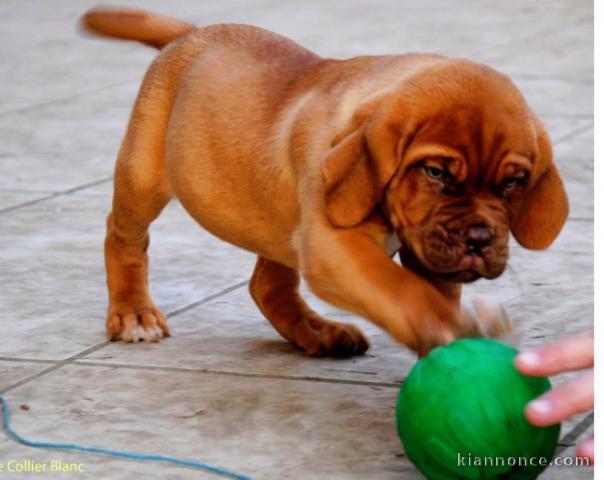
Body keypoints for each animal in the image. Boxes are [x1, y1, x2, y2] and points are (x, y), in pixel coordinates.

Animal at [82, 6, 568, 356]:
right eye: (435, 172)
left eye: (513, 183)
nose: (480, 239)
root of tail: (190, 35)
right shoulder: (335, 246)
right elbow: (399, 289)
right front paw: (450, 331)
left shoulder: (425, 257)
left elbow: (429, 291)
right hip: (144, 175)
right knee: (123, 237)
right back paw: (133, 313)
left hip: (278, 221)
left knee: (268, 285)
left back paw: (319, 333)